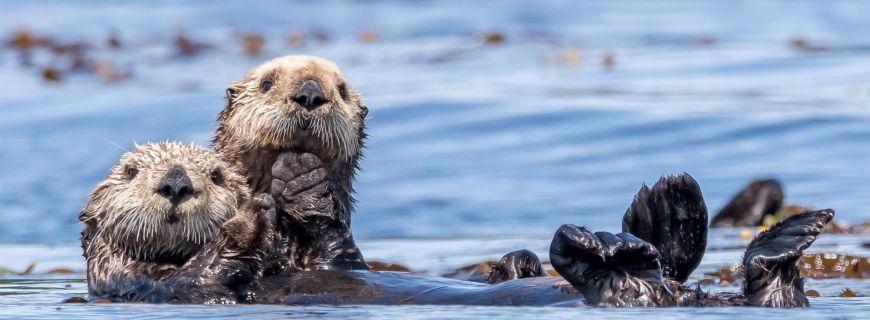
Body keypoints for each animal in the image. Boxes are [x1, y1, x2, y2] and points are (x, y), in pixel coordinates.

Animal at [81, 142, 276, 302]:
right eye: (131, 171)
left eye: (216, 175)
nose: (176, 184)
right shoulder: (133, 282)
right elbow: (190, 281)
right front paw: (250, 217)